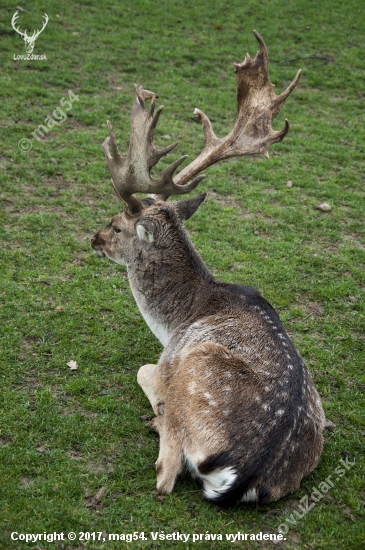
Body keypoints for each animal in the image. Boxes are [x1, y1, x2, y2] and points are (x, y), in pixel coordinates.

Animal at [91, 32, 324, 508]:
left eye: (118, 224)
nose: (94, 239)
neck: (175, 320)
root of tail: (244, 474)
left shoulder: (167, 360)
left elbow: (143, 370)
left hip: (194, 371)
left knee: (166, 472)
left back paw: (157, 421)